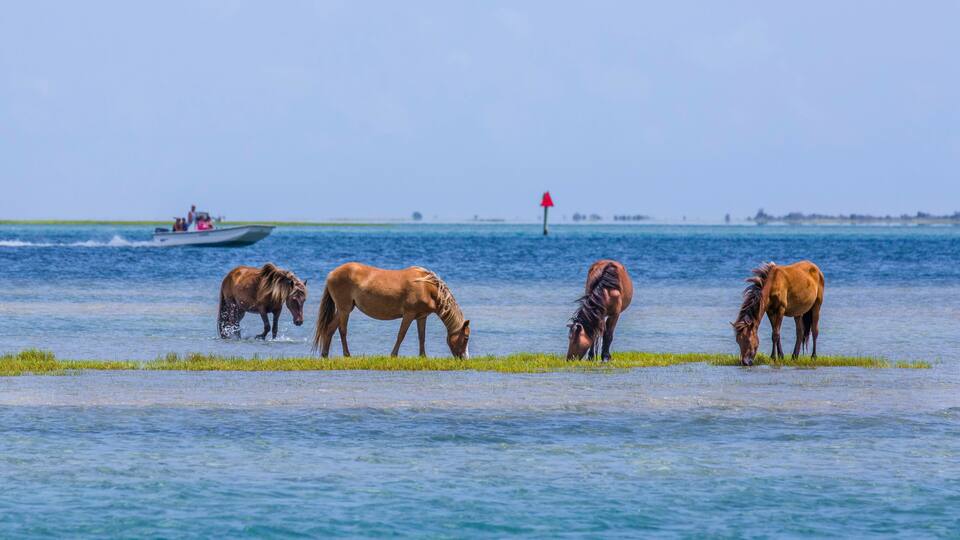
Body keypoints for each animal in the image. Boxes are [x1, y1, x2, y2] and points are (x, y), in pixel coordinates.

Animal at [311, 263, 470, 358]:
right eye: (466, 338)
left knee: (330, 328)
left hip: (344, 309)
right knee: (342, 330)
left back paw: (325, 355)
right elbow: (401, 335)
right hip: (344, 309)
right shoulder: (409, 314)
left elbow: (422, 337)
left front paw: (423, 357)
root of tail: (332, 273)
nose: (464, 358)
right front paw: (393, 355)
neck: (426, 287)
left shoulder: (421, 317)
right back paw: (347, 354)